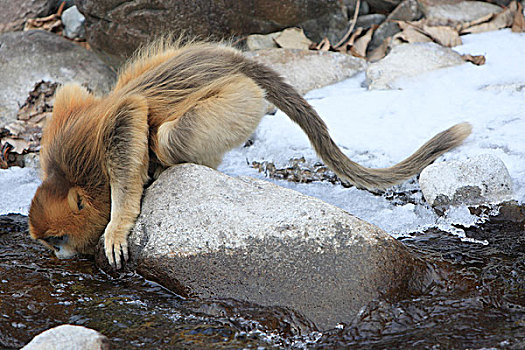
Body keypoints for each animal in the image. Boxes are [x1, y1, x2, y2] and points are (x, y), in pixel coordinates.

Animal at [27, 39, 470, 268]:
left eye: (57, 239)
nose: (58, 252)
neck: (72, 176)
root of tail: (235, 62)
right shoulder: (62, 123)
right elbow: (73, 92)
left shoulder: (106, 142)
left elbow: (130, 113)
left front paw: (117, 226)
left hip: (242, 98)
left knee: (168, 137)